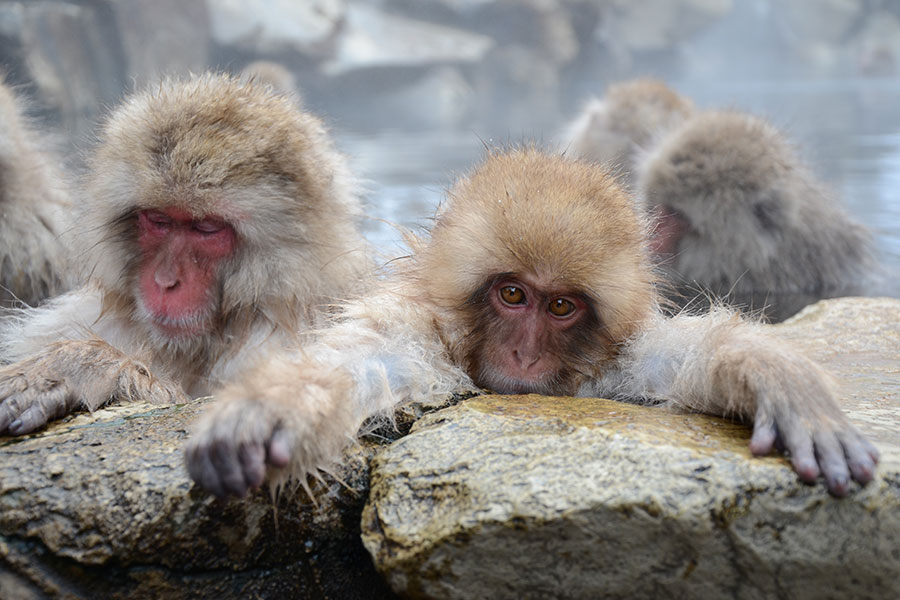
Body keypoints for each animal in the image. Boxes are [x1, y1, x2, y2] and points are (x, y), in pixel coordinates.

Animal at [185, 148, 880, 500]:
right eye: (513, 295)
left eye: (561, 307)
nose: (523, 355)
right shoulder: (418, 337)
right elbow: (359, 365)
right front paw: (273, 407)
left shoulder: (616, 361)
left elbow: (682, 359)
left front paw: (781, 382)